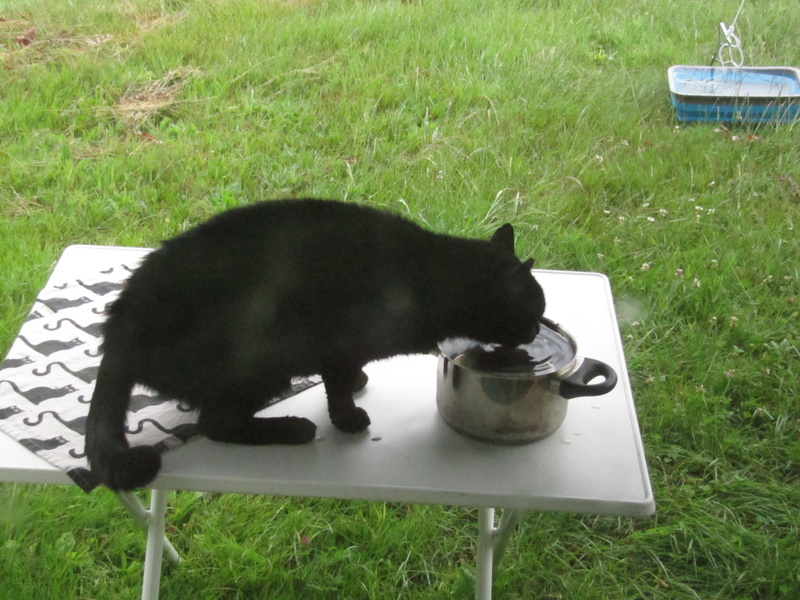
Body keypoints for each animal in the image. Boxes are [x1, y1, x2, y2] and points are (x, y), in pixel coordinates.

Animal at [84, 199, 544, 490]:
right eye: (535, 311)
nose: (538, 332)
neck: (433, 276)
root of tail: (118, 327)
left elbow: (343, 377)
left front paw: (358, 383)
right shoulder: (337, 345)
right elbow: (337, 390)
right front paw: (349, 418)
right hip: (263, 362)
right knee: (216, 422)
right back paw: (292, 428)